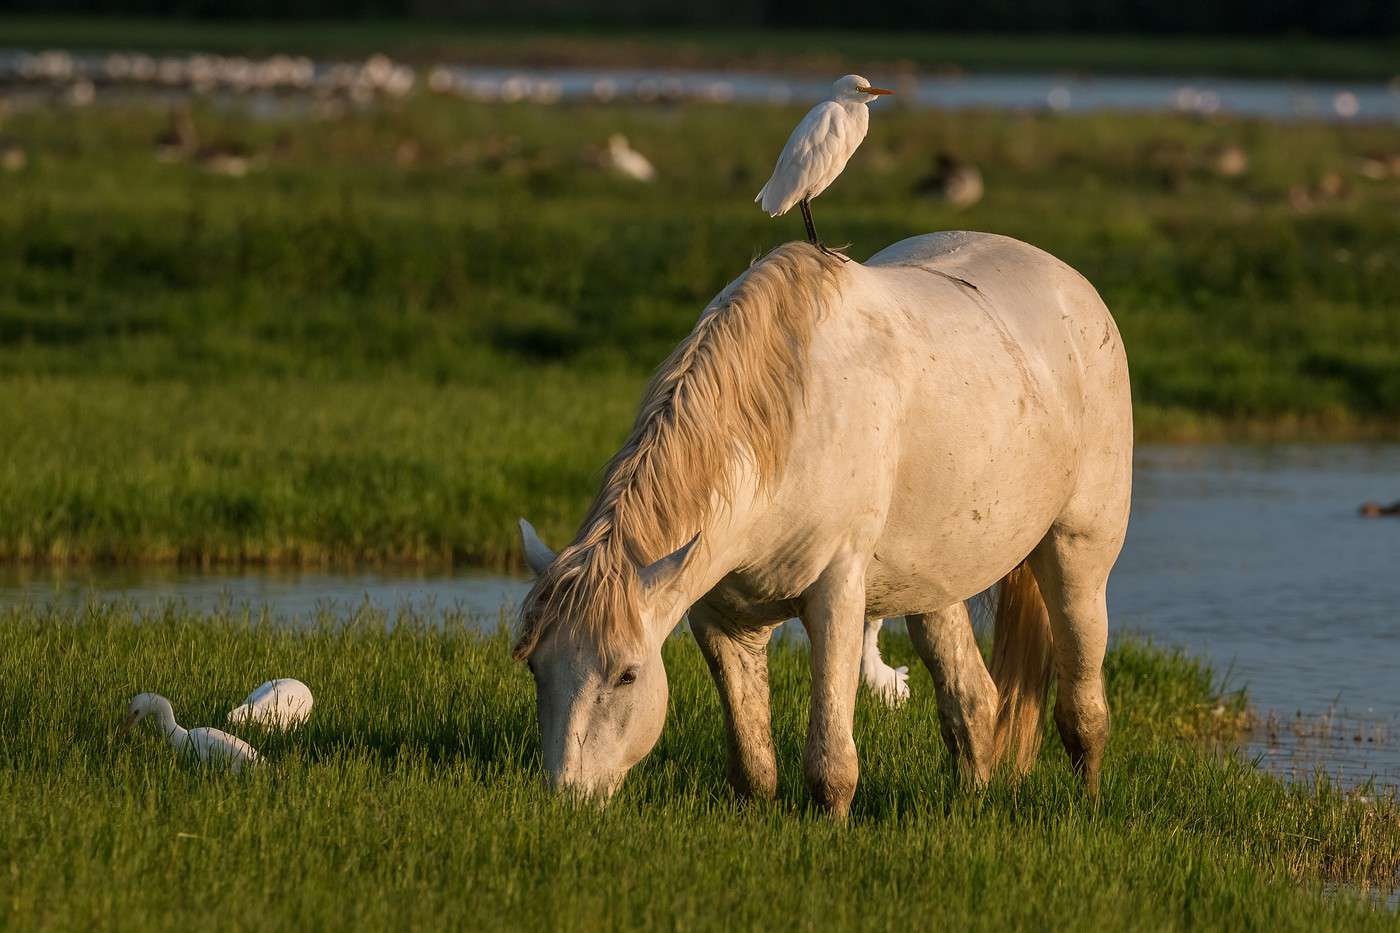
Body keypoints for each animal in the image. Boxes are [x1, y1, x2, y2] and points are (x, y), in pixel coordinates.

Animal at [520, 232, 1131, 812]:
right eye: (536, 669)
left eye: (627, 674)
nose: (568, 799)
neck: (786, 424)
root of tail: (1071, 283)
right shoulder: (722, 621)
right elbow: (754, 769)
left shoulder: (836, 597)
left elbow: (831, 765)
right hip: (935, 584)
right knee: (974, 702)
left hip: (1078, 558)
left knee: (1083, 710)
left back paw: (1088, 805)